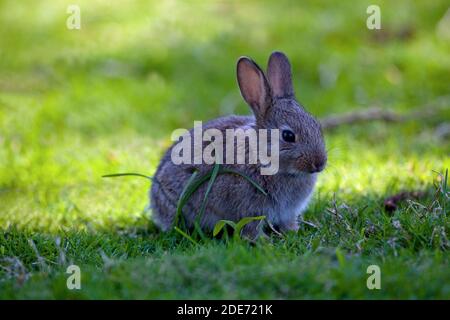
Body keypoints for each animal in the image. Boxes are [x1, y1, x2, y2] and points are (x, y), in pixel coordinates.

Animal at [150, 51, 326, 239]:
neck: (263, 157)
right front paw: (264, 241)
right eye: (288, 136)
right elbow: (251, 227)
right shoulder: (248, 207)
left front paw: (293, 230)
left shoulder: (288, 211)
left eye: (317, 125)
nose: (319, 164)